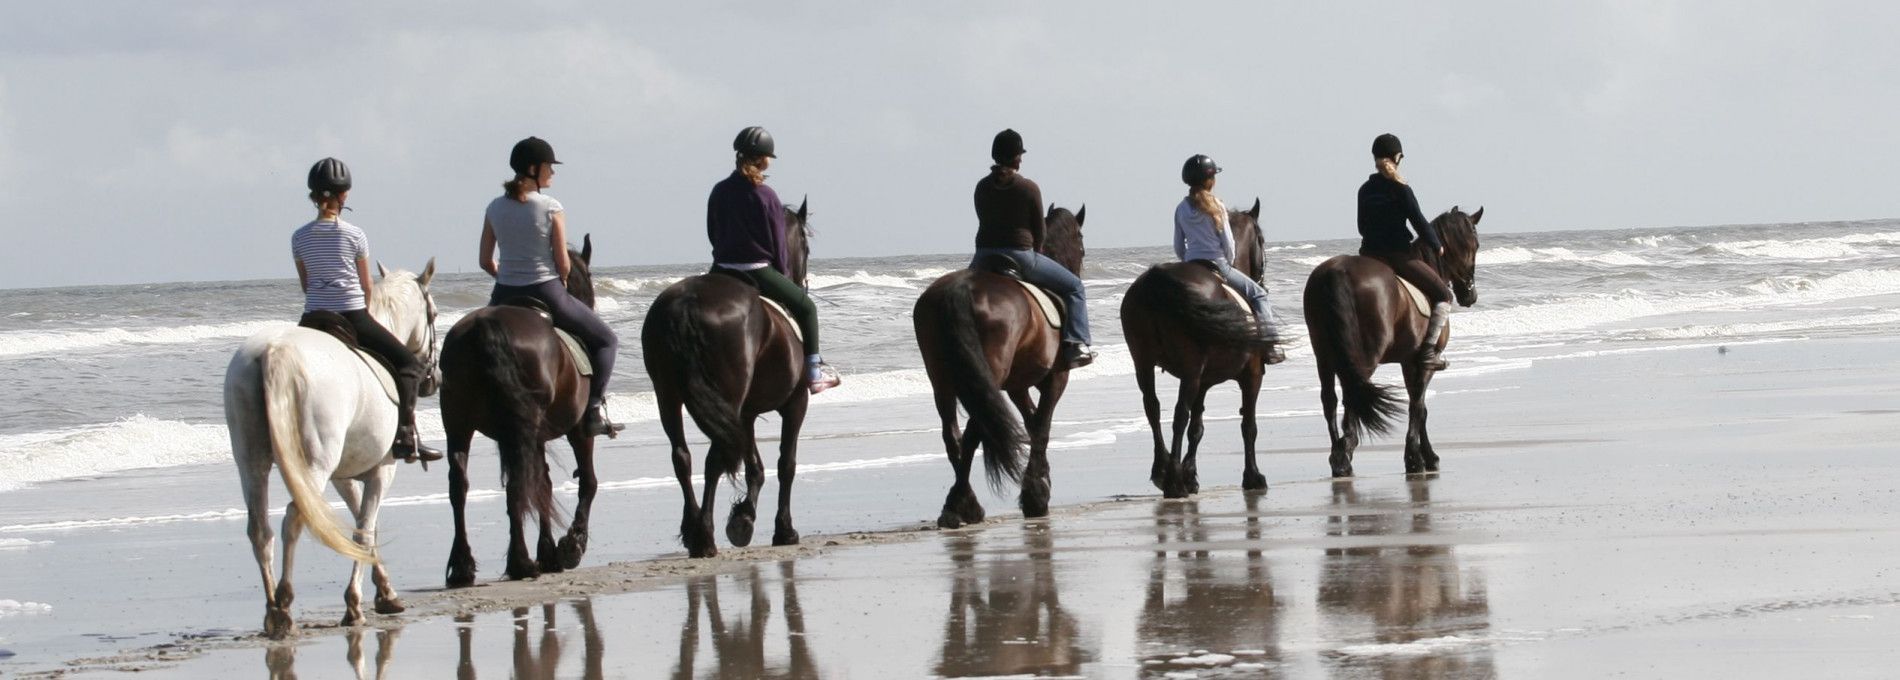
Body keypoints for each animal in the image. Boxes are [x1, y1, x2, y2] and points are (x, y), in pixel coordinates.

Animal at [224, 258, 438, 638]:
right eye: (435, 314)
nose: (434, 380)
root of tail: (274, 351)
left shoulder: (344, 476)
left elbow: (363, 528)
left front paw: (385, 593)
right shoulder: (382, 471)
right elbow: (365, 530)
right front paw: (355, 605)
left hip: (250, 459)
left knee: (259, 527)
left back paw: (271, 609)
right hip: (314, 463)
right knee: (295, 517)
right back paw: (284, 606)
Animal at [437, 235, 600, 585]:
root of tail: (485, 327)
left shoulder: (529, 437)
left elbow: (543, 485)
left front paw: (549, 551)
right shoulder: (578, 429)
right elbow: (585, 482)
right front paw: (569, 546)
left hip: (458, 423)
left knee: (460, 486)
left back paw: (462, 566)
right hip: (525, 426)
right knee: (518, 486)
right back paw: (521, 562)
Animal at [642, 197, 813, 558]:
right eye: (804, 243)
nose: (803, 282)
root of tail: (688, 301)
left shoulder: (744, 415)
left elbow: (755, 466)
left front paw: (743, 519)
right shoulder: (795, 403)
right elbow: (786, 463)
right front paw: (782, 529)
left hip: (667, 395)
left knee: (682, 457)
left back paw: (693, 529)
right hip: (728, 397)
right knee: (714, 459)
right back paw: (705, 536)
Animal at [1117, 196, 1284, 497]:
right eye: (1262, 239)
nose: (1263, 282)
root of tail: (1156, 282)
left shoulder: (1204, 381)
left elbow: (1198, 426)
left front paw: (1191, 474)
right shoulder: (1251, 375)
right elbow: (1248, 425)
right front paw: (1252, 476)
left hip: (1143, 362)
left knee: (1153, 407)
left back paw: (1162, 471)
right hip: (1190, 369)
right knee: (1178, 414)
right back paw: (1173, 481)